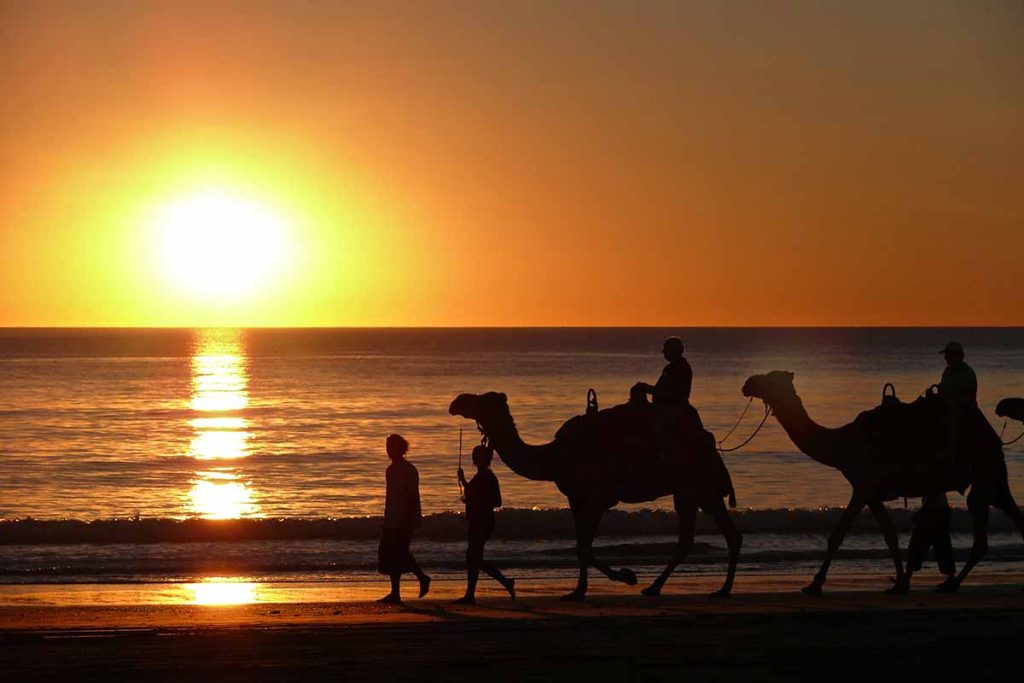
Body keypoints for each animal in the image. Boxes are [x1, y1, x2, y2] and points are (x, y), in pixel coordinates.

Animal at [446, 393, 737, 602]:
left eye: (483, 399)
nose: (456, 401)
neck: (555, 457)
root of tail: (709, 441)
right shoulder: (578, 499)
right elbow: (581, 546)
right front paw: (617, 578)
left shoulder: (597, 498)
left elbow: (584, 546)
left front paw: (611, 581)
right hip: (686, 490)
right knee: (690, 538)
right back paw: (656, 588)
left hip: (700, 486)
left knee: (726, 533)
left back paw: (722, 589)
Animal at [745, 370, 1024, 593]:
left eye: (770, 378)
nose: (747, 383)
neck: (841, 444)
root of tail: (993, 437)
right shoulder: (872, 494)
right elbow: (890, 535)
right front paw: (899, 583)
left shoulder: (862, 486)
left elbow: (837, 536)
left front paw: (814, 585)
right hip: (994, 478)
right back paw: (951, 582)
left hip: (986, 472)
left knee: (982, 524)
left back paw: (952, 584)